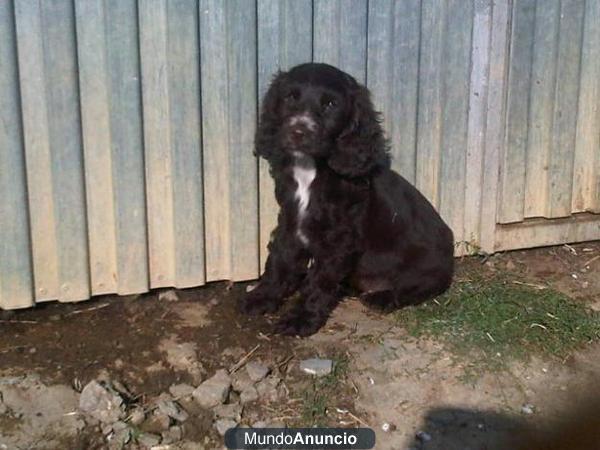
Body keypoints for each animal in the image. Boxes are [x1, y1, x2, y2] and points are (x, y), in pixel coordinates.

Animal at [241, 64, 452, 338]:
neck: (311, 169)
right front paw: (261, 297)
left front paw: (300, 319)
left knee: (417, 288)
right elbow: (279, 261)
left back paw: (382, 297)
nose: (298, 131)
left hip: (426, 267)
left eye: (331, 104)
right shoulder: (289, 221)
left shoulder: (339, 239)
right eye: (290, 97)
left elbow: (318, 281)